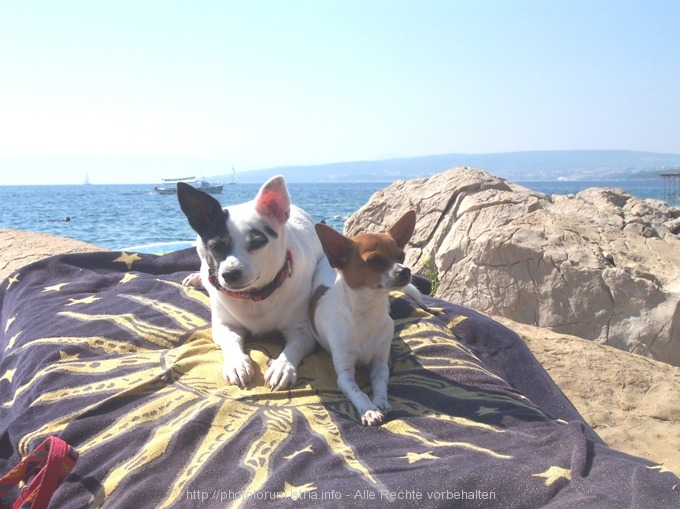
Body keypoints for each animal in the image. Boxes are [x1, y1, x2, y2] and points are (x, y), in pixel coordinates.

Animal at [177, 177, 322, 390]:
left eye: (256, 243)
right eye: (215, 246)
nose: (229, 273)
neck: (254, 296)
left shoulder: (302, 332)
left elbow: (292, 348)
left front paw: (282, 367)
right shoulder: (225, 326)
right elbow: (231, 342)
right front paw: (237, 364)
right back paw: (198, 277)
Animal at [310, 210, 418, 424]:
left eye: (401, 255)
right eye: (374, 260)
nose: (405, 270)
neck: (368, 313)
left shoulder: (380, 365)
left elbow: (380, 385)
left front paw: (381, 402)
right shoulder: (344, 374)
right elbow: (357, 391)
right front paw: (369, 409)